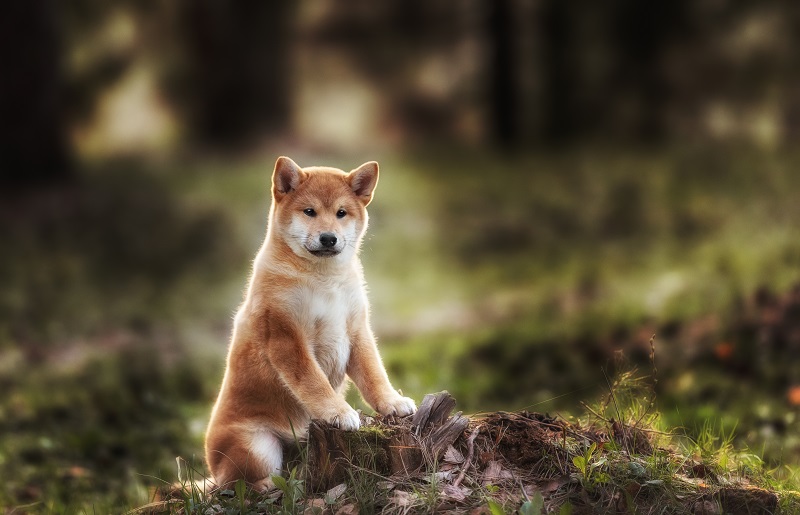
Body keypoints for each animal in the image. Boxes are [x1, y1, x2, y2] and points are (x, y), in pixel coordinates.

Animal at [203, 155, 416, 490]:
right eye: (309, 211)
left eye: (341, 213)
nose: (328, 237)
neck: (324, 279)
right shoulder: (287, 336)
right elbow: (314, 383)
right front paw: (339, 412)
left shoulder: (356, 329)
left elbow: (374, 375)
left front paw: (392, 402)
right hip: (258, 447)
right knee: (234, 484)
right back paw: (268, 485)